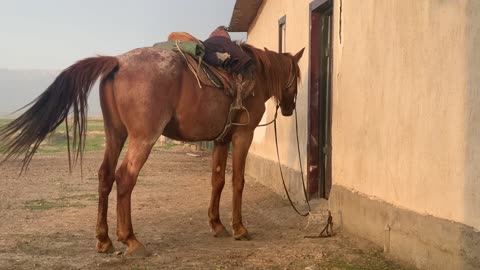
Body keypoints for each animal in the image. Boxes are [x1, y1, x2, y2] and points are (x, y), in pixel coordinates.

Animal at [0, 43, 304, 255]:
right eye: (297, 77)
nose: (290, 108)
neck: (255, 77)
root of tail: (117, 62)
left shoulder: (221, 139)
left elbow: (217, 180)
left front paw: (217, 225)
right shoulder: (242, 136)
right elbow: (237, 181)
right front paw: (240, 229)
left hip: (115, 134)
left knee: (105, 176)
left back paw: (104, 240)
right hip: (143, 138)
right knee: (125, 177)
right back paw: (131, 240)